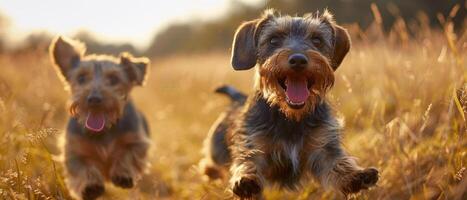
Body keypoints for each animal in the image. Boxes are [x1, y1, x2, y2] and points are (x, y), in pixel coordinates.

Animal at [50, 36, 151, 200]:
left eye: (114, 79)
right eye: (81, 78)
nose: (94, 99)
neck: (104, 130)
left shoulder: (137, 142)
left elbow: (127, 155)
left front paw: (123, 174)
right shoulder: (73, 150)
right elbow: (82, 167)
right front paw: (90, 186)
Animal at [201, 9, 380, 198]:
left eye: (317, 40)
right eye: (273, 40)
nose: (298, 60)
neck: (290, 117)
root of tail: (237, 98)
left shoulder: (323, 146)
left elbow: (337, 163)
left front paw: (356, 175)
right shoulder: (253, 144)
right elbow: (247, 161)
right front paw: (245, 179)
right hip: (216, 150)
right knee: (210, 163)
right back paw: (210, 171)